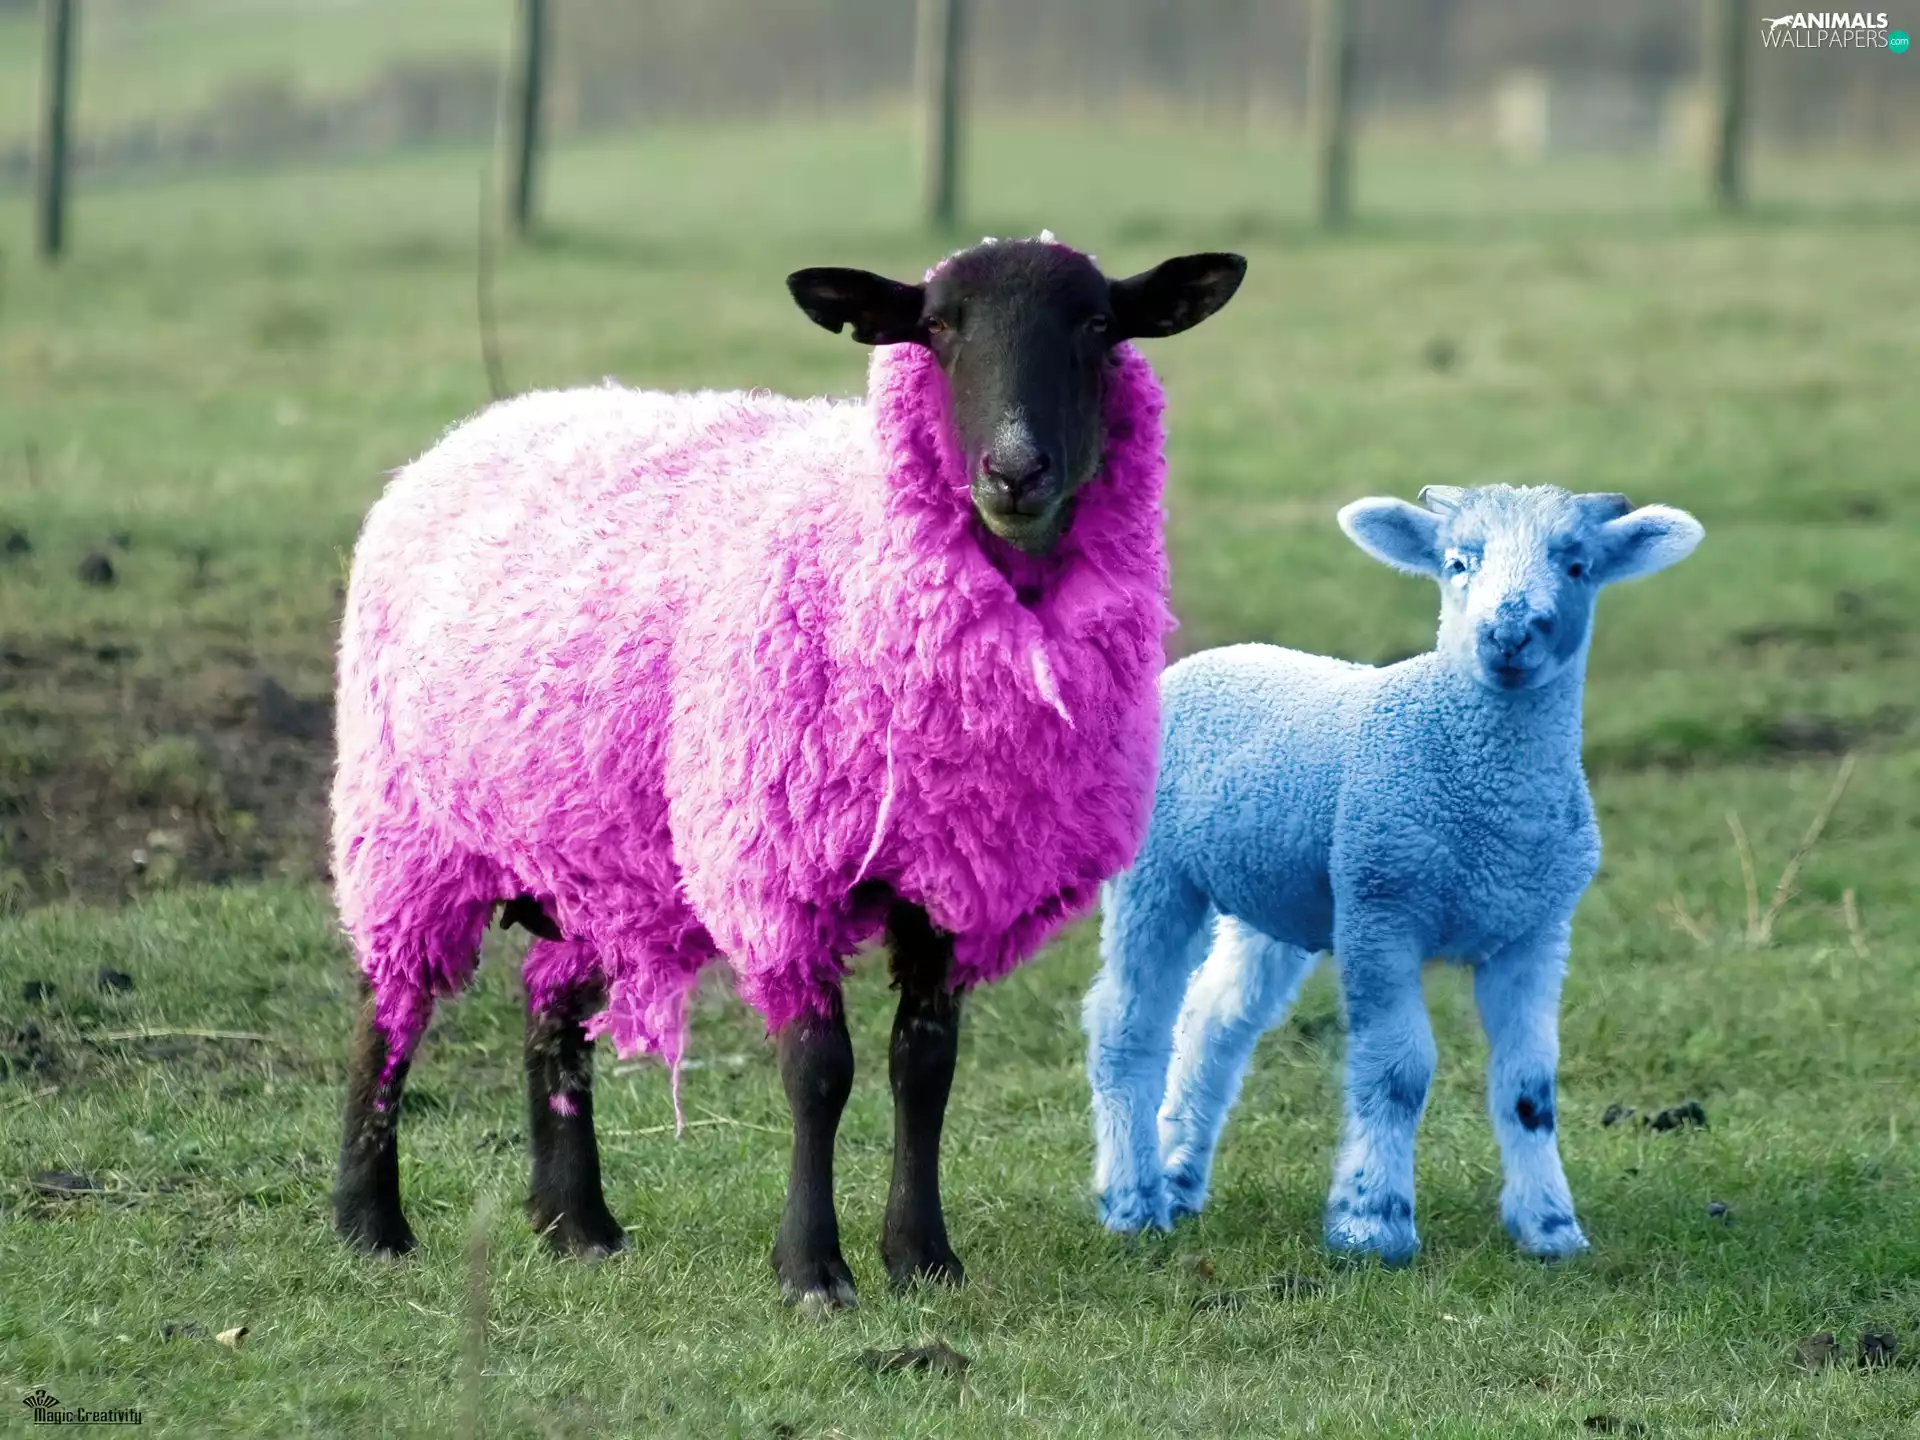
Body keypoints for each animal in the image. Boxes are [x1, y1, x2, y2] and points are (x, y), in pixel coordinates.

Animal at [330, 235, 1247, 1310]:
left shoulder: (953, 874)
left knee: (549, 1008)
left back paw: (576, 1224)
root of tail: (474, 429)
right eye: (936, 328)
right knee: (389, 1011)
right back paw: (370, 1222)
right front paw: (813, 1268)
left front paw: (923, 1257)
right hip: (403, 822)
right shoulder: (782, 869)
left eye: (1100, 325)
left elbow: (923, 1069)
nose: (1016, 471)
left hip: (597, 844)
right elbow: (819, 1072)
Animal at [1083, 483, 1703, 1263]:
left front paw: (1551, 1228)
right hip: (1157, 872)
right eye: (1458, 563)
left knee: (1214, 1018)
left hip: (1280, 891)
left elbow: (1529, 1085)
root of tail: (1202, 660)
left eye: (1578, 566)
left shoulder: (1534, 930)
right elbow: (1397, 1070)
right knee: (1127, 1020)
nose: (1508, 636)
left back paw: (1178, 1174)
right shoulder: (1382, 907)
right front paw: (1372, 1222)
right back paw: (1132, 1201)